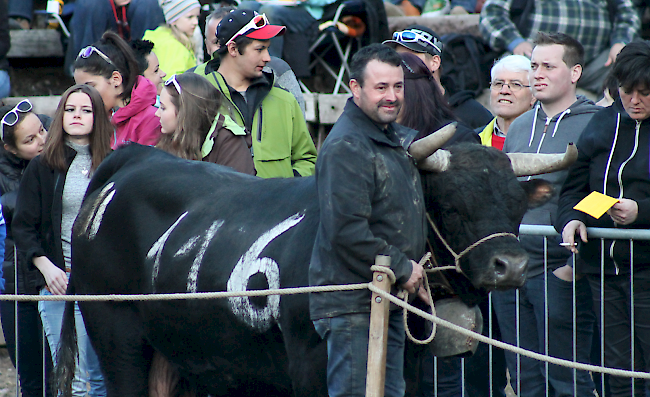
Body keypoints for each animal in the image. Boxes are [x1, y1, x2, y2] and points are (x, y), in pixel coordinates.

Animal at [55, 141, 572, 394]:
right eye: (452, 206)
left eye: (517, 207)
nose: (511, 265)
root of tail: (133, 158)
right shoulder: (309, 363)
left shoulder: (409, 365)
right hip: (115, 332)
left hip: (188, 354)